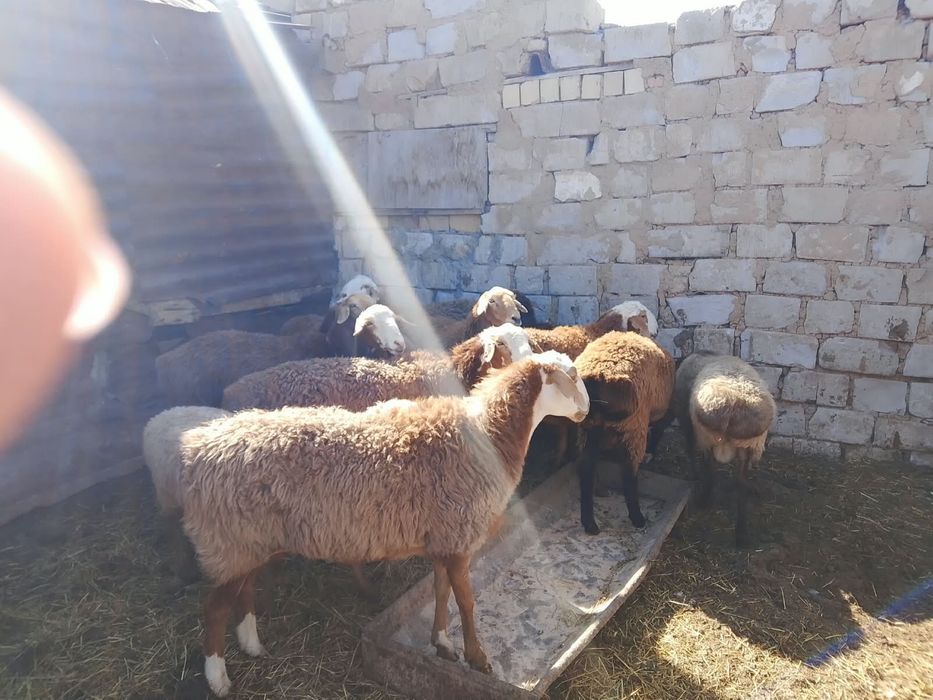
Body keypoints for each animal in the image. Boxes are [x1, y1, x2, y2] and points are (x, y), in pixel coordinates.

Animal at [178, 351, 589, 696]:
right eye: (570, 376)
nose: (586, 410)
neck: (490, 435)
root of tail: (200, 449)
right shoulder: (459, 536)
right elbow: (467, 602)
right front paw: (478, 659)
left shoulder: (443, 536)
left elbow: (441, 592)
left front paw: (442, 644)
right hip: (229, 539)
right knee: (214, 610)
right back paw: (218, 679)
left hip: (248, 540)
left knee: (244, 591)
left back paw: (253, 646)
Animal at [569, 331, 675, 535]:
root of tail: (597, 377)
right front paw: (651, 452)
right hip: (634, 427)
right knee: (628, 472)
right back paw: (637, 518)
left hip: (588, 429)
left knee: (586, 468)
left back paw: (590, 522)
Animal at [673, 352, 776, 547]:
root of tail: (734, 407)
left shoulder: (686, 420)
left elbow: (690, 450)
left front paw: (694, 477)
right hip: (747, 446)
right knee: (741, 484)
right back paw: (741, 533)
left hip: (707, 437)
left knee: (709, 467)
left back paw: (705, 499)